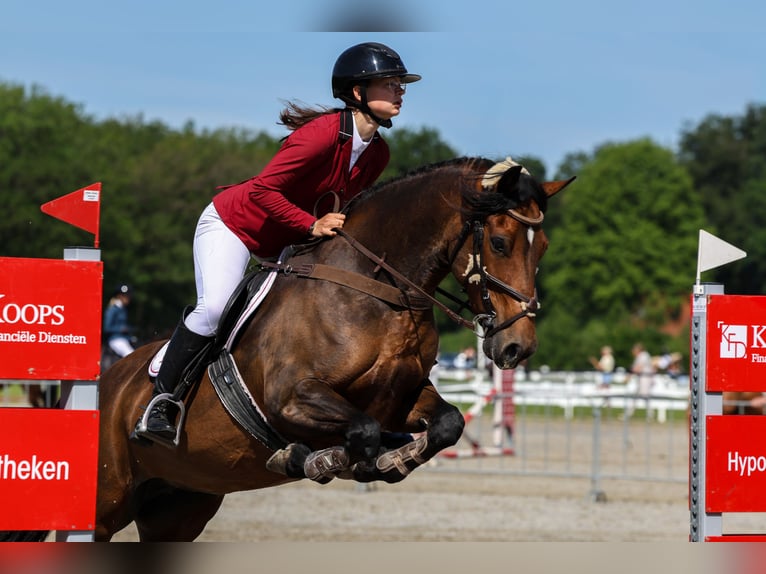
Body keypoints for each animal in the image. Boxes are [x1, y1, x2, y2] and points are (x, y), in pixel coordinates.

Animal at [1, 157, 573, 542]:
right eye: (499, 242)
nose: (517, 347)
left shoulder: (402, 396)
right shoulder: (291, 397)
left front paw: (390, 458)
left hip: (178, 504)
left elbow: (445, 424)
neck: (378, 287)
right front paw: (319, 459)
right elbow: (362, 433)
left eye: (543, 247)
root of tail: (104, 385)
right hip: (102, 502)